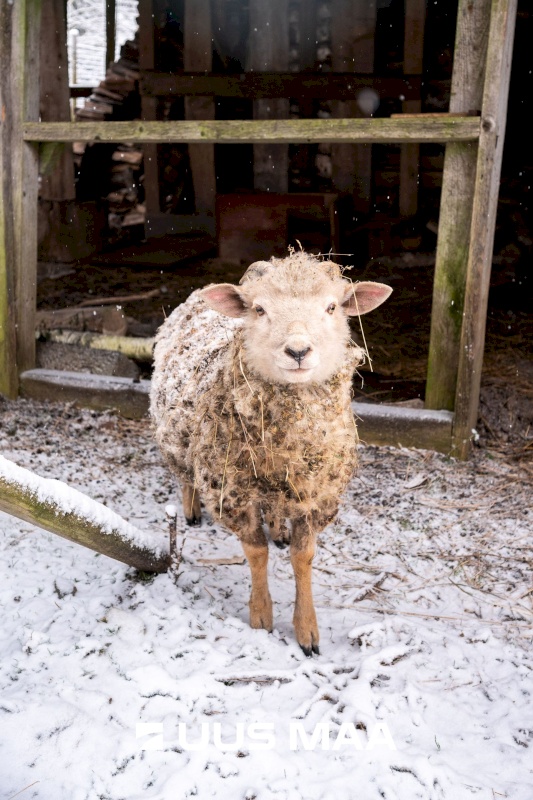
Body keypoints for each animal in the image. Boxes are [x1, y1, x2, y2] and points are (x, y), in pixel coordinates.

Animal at [150, 252, 390, 656]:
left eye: (331, 307)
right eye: (259, 309)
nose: (298, 351)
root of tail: (202, 290)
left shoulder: (317, 494)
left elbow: (302, 557)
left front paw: (307, 630)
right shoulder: (232, 493)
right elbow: (256, 552)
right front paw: (261, 614)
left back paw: (278, 528)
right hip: (181, 443)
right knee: (185, 476)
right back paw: (191, 508)